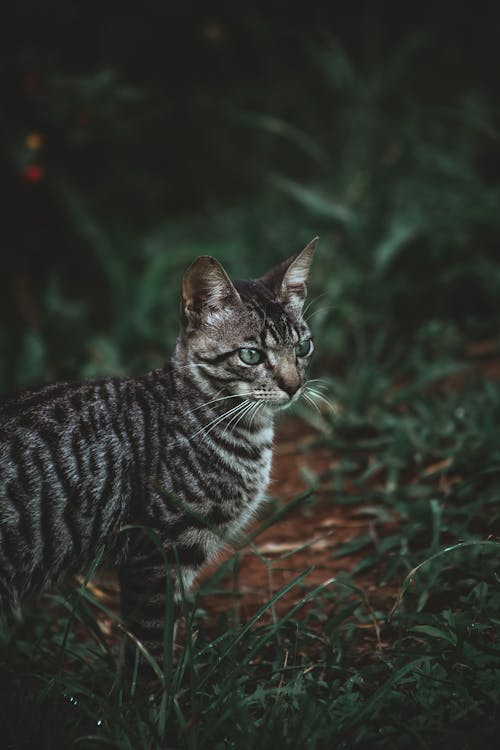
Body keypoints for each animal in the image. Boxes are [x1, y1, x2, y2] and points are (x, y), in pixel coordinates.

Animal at [0, 239, 318, 688]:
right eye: (251, 355)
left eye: (303, 348)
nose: (294, 386)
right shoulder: (157, 552)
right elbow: (149, 642)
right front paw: (156, 698)